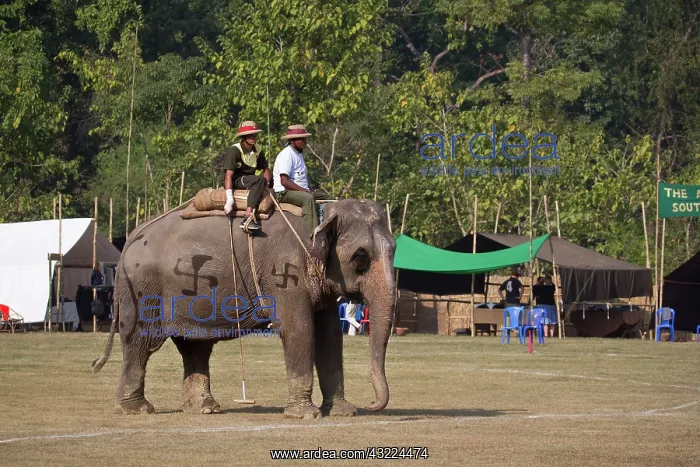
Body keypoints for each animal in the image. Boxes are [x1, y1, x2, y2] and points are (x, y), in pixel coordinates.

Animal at [91, 198, 396, 419]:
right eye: (360, 257)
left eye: (395, 250)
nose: (371, 403)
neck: (324, 210)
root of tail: (132, 236)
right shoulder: (283, 274)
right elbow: (299, 330)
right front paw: (305, 415)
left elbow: (330, 335)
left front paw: (344, 412)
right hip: (143, 290)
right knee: (140, 343)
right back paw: (136, 410)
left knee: (195, 345)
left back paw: (205, 408)